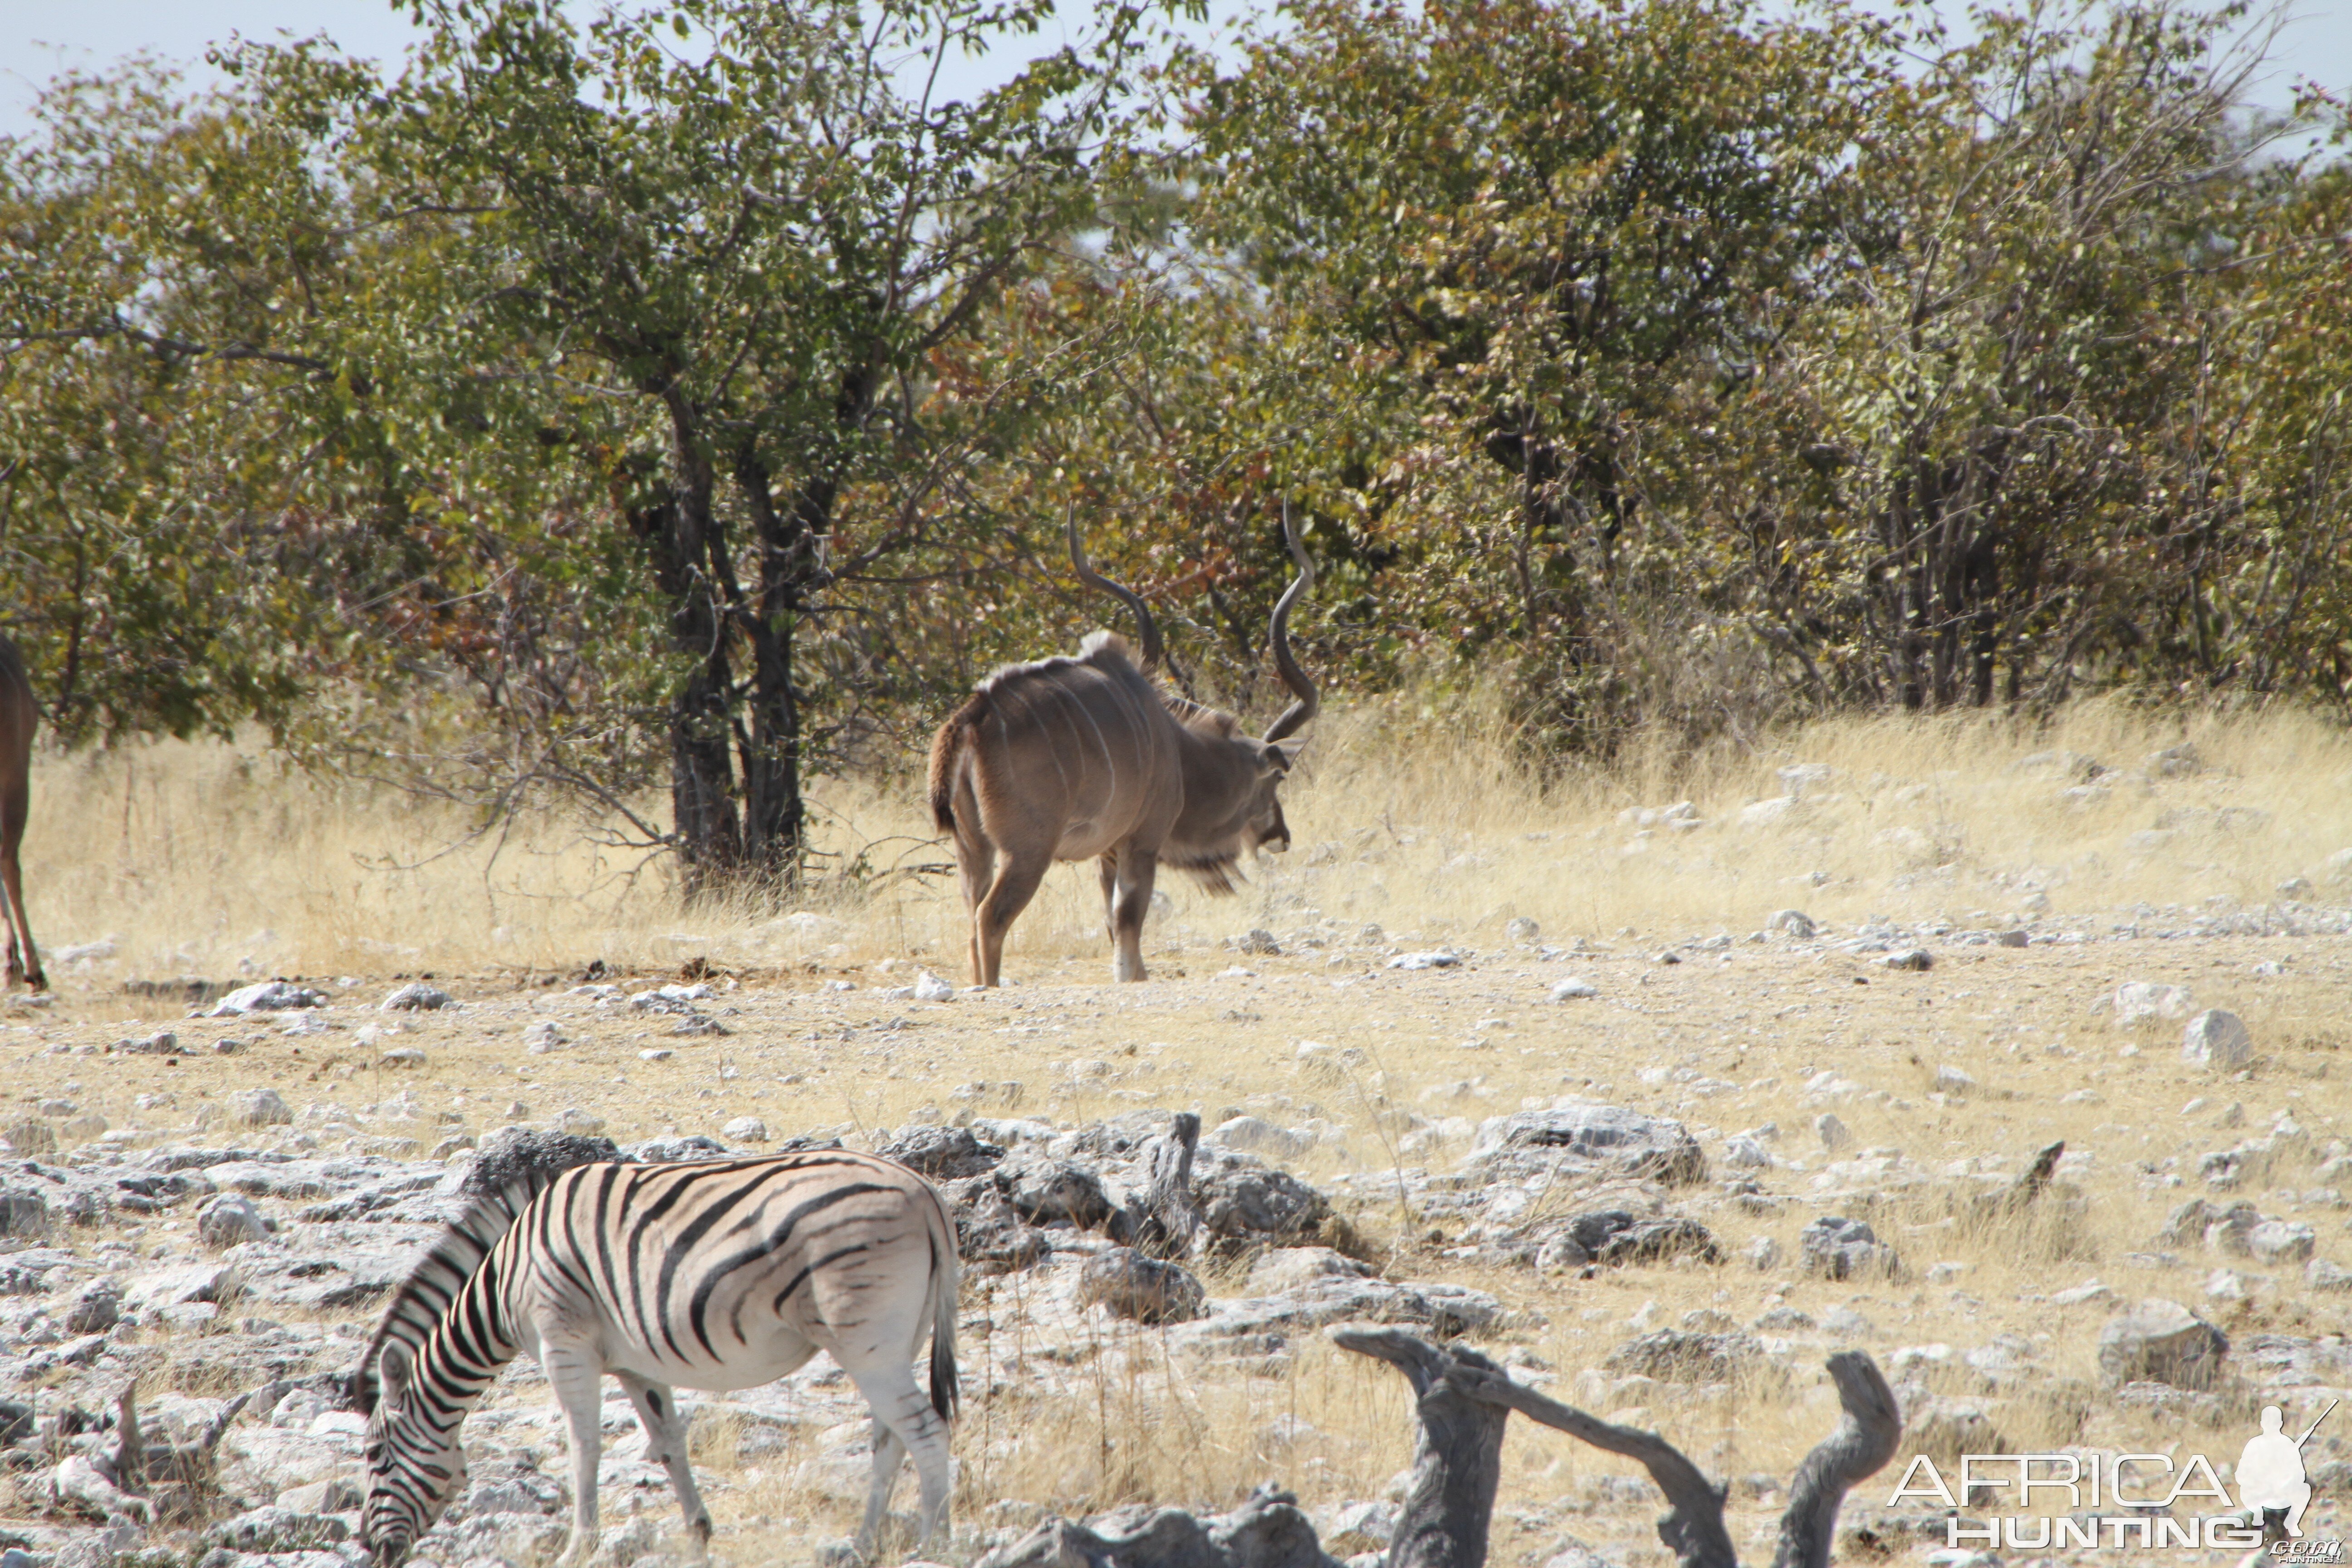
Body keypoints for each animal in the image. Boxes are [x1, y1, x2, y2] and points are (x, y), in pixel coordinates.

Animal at [355, 1152, 955, 1568]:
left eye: (375, 1455)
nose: (368, 1548)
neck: (506, 1281)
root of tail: (924, 1190)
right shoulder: (635, 1365)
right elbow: (668, 1445)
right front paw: (699, 1534)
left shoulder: (564, 1343)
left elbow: (584, 1448)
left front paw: (579, 1548)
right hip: (897, 1342)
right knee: (890, 1440)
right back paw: (864, 1543)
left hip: (866, 1343)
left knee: (927, 1434)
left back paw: (933, 1545)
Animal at [922, 510, 1326, 987]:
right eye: (1276, 779)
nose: (1281, 836)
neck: (1177, 749)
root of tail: (971, 719)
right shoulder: (1142, 844)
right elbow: (1128, 925)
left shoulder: (1108, 855)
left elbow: (1113, 925)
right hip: (1027, 852)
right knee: (990, 919)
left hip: (973, 851)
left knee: (971, 919)